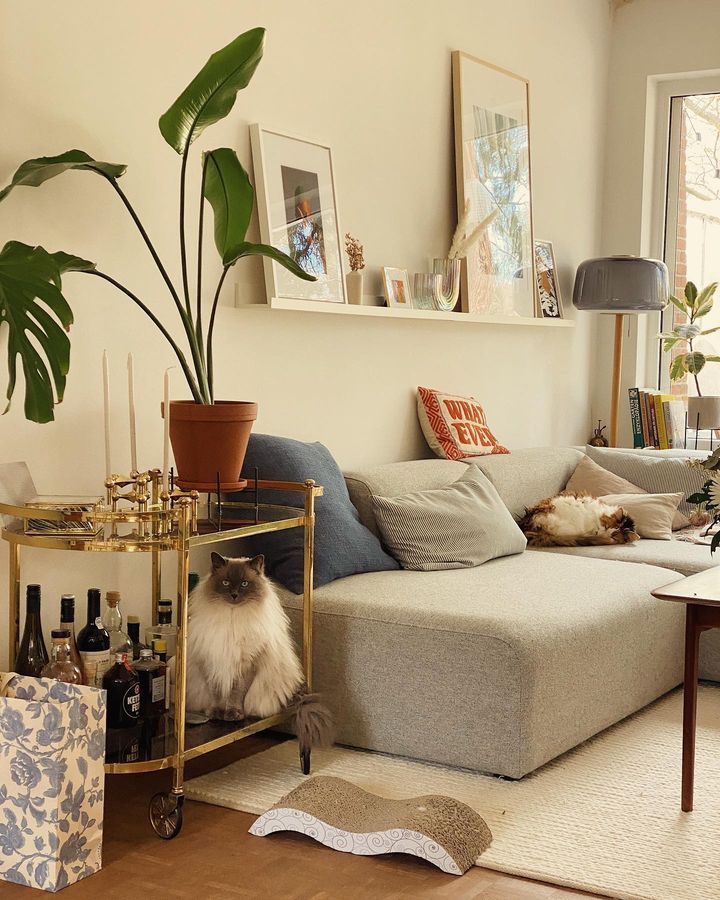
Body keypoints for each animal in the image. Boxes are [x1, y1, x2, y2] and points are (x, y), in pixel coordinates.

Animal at [184, 548, 334, 752]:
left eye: (244, 584)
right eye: (226, 583)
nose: (234, 595)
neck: (232, 618)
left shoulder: (246, 665)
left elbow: (235, 694)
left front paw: (233, 714)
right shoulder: (212, 661)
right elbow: (217, 694)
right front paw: (217, 713)